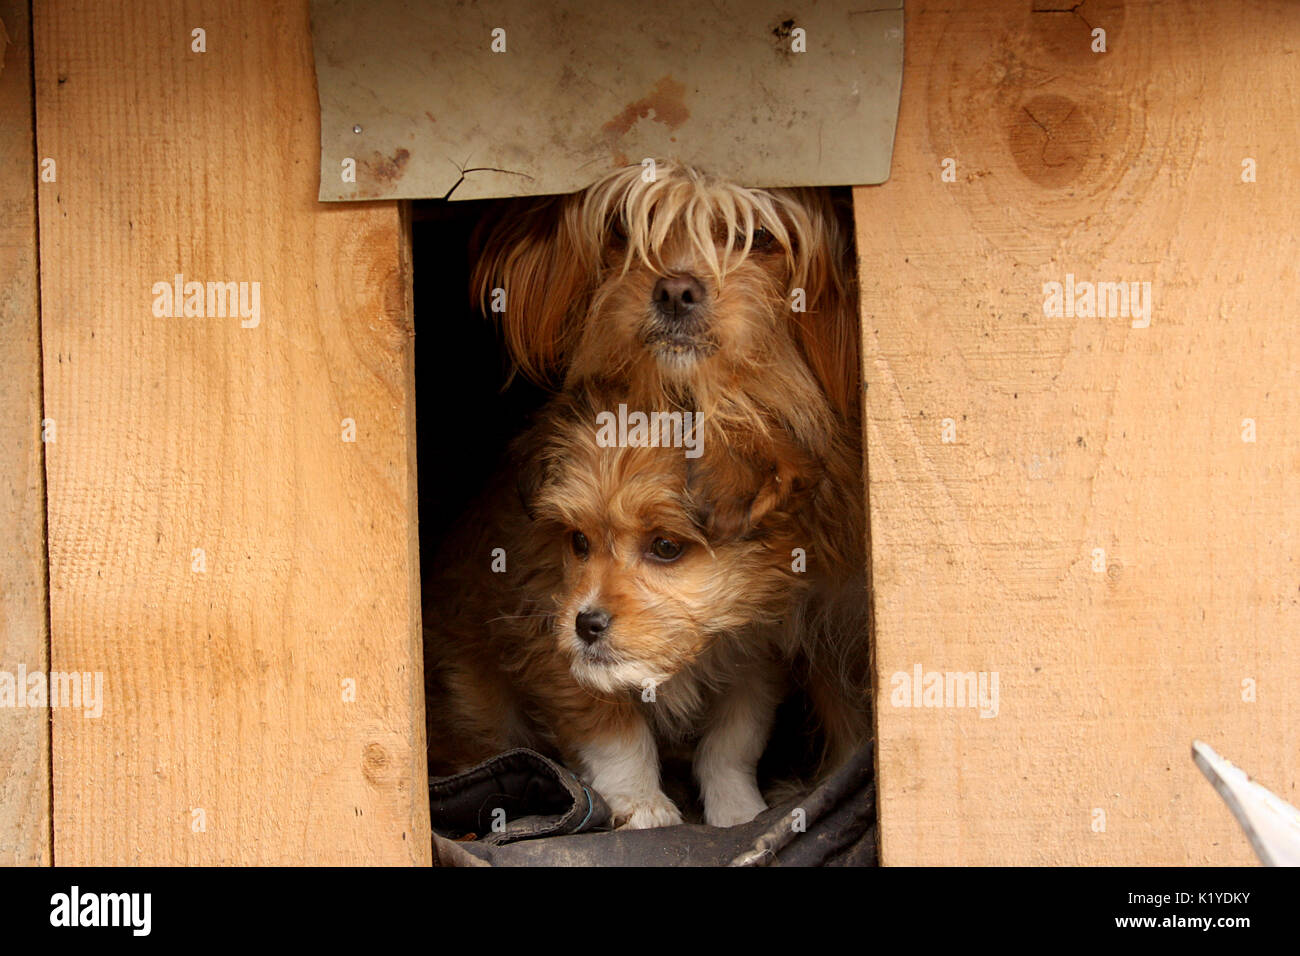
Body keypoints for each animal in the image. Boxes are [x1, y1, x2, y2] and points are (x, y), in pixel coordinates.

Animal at [423, 385, 811, 827]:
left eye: (666, 546)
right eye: (578, 541)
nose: (586, 624)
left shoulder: (756, 663)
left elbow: (733, 743)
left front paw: (739, 810)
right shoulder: (556, 655)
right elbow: (617, 734)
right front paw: (642, 802)